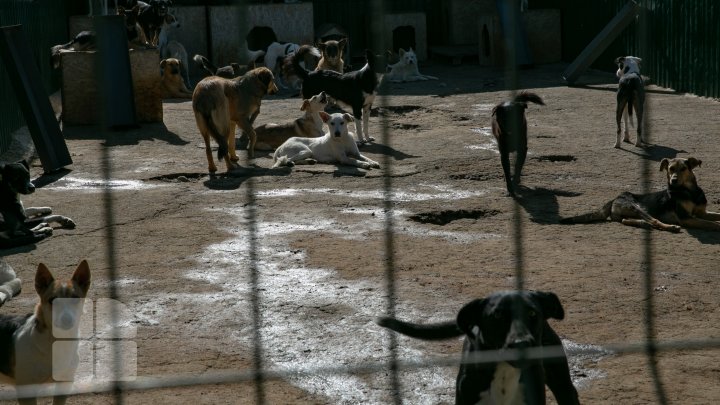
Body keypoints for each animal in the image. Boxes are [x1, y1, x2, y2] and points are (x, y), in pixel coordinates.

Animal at [564, 156, 720, 232]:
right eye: (670, 168)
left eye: (683, 169)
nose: (674, 180)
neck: (689, 192)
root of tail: (614, 198)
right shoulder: (685, 218)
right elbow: (711, 223)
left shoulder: (702, 212)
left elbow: (714, 217)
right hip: (637, 207)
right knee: (654, 220)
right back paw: (670, 227)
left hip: (631, 212)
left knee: (625, 220)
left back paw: (642, 223)